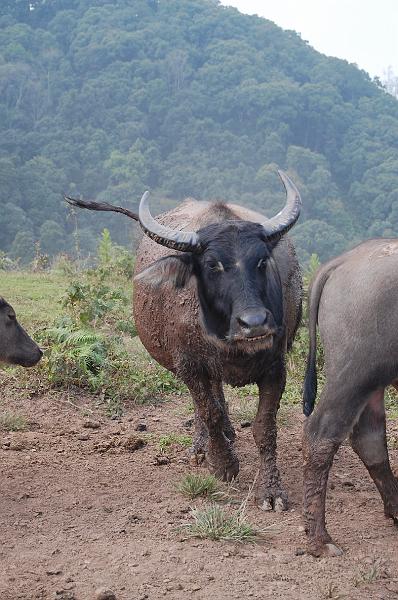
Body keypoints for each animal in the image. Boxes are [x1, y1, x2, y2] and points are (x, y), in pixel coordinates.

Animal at [66, 170, 302, 510]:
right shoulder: (190, 365)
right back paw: (204, 447)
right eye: (212, 264)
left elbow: (265, 427)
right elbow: (208, 412)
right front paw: (223, 464)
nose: (255, 323)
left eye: (262, 261)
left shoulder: (275, 367)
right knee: (205, 403)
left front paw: (271, 491)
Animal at [304, 237, 398, 556]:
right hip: (355, 374)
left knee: (369, 437)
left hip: (371, 384)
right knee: (321, 434)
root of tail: (348, 259)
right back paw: (320, 540)